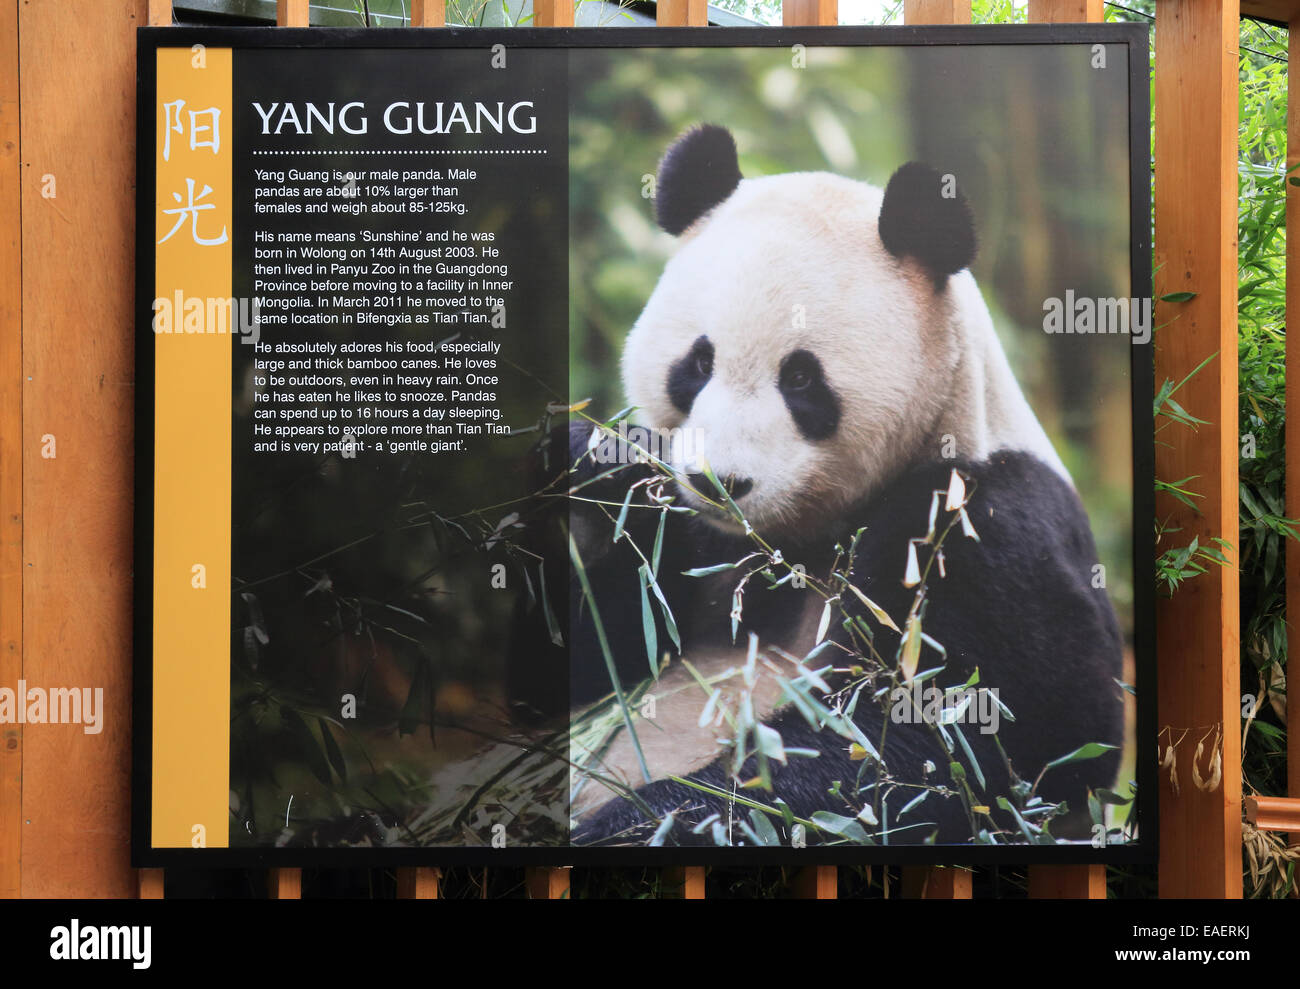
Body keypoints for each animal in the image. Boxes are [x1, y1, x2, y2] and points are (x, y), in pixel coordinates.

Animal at [553, 125, 1123, 847]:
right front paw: (593, 474)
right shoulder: (691, 547)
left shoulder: (981, 520)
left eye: (800, 379)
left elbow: (956, 744)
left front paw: (633, 821)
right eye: (698, 363)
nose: (719, 481)